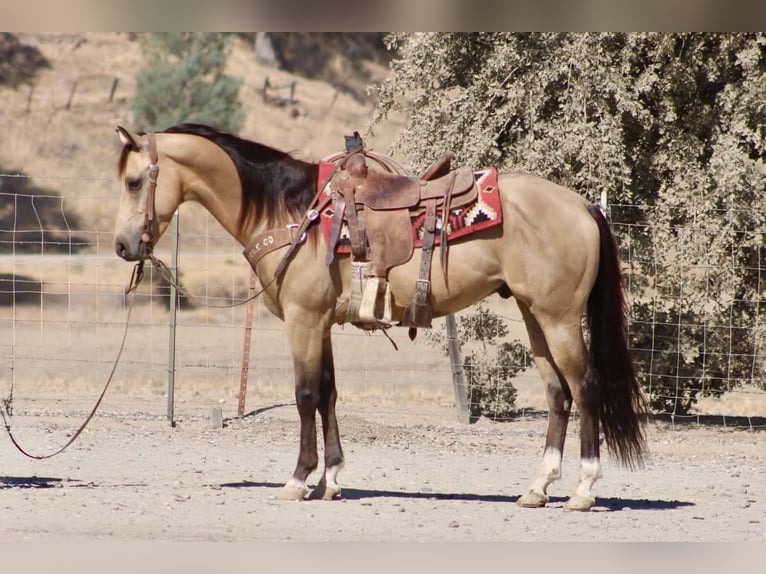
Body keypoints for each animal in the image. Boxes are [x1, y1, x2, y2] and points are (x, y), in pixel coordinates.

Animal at [113, 122, 647, 511]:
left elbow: (305, 397)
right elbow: (329, 395)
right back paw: (537, 489)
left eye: (134, 181)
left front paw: (299, 479)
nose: (122, 246)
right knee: (558, 394)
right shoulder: (322, 323)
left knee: (585, 388)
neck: (294, 213)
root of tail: (583, 205)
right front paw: (330, 480)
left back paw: (583, 491)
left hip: (559, 319)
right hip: (535, 316)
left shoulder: (303, 320)